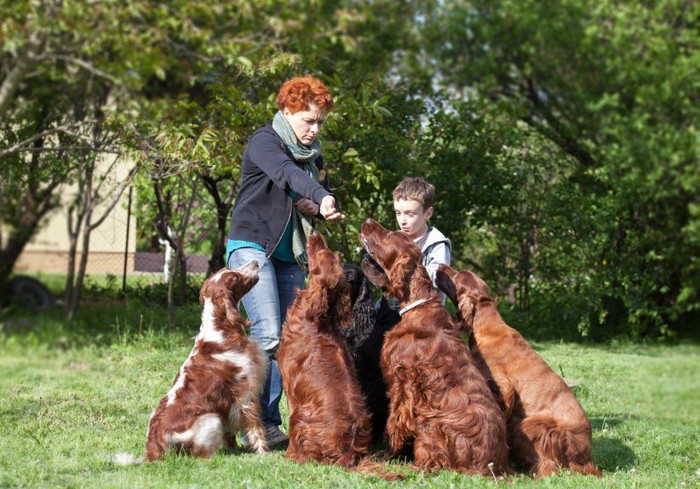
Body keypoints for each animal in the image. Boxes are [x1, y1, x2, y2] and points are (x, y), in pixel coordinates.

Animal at [144, 262, 266, 460]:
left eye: (227, 268)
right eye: (235, 277)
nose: (255, 262)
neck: (221, 328)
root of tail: (155, 448)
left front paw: (235, 447)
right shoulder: (245, 394)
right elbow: (255, 427)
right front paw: (263, 453)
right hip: (210, 418)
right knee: (201, 454)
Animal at [432, 266, 600, 476]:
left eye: (459, 274)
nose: (439, 267)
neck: (486, 326)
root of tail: (587, 458)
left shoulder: (504, 386)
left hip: (535, 424)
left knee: (550, 464)